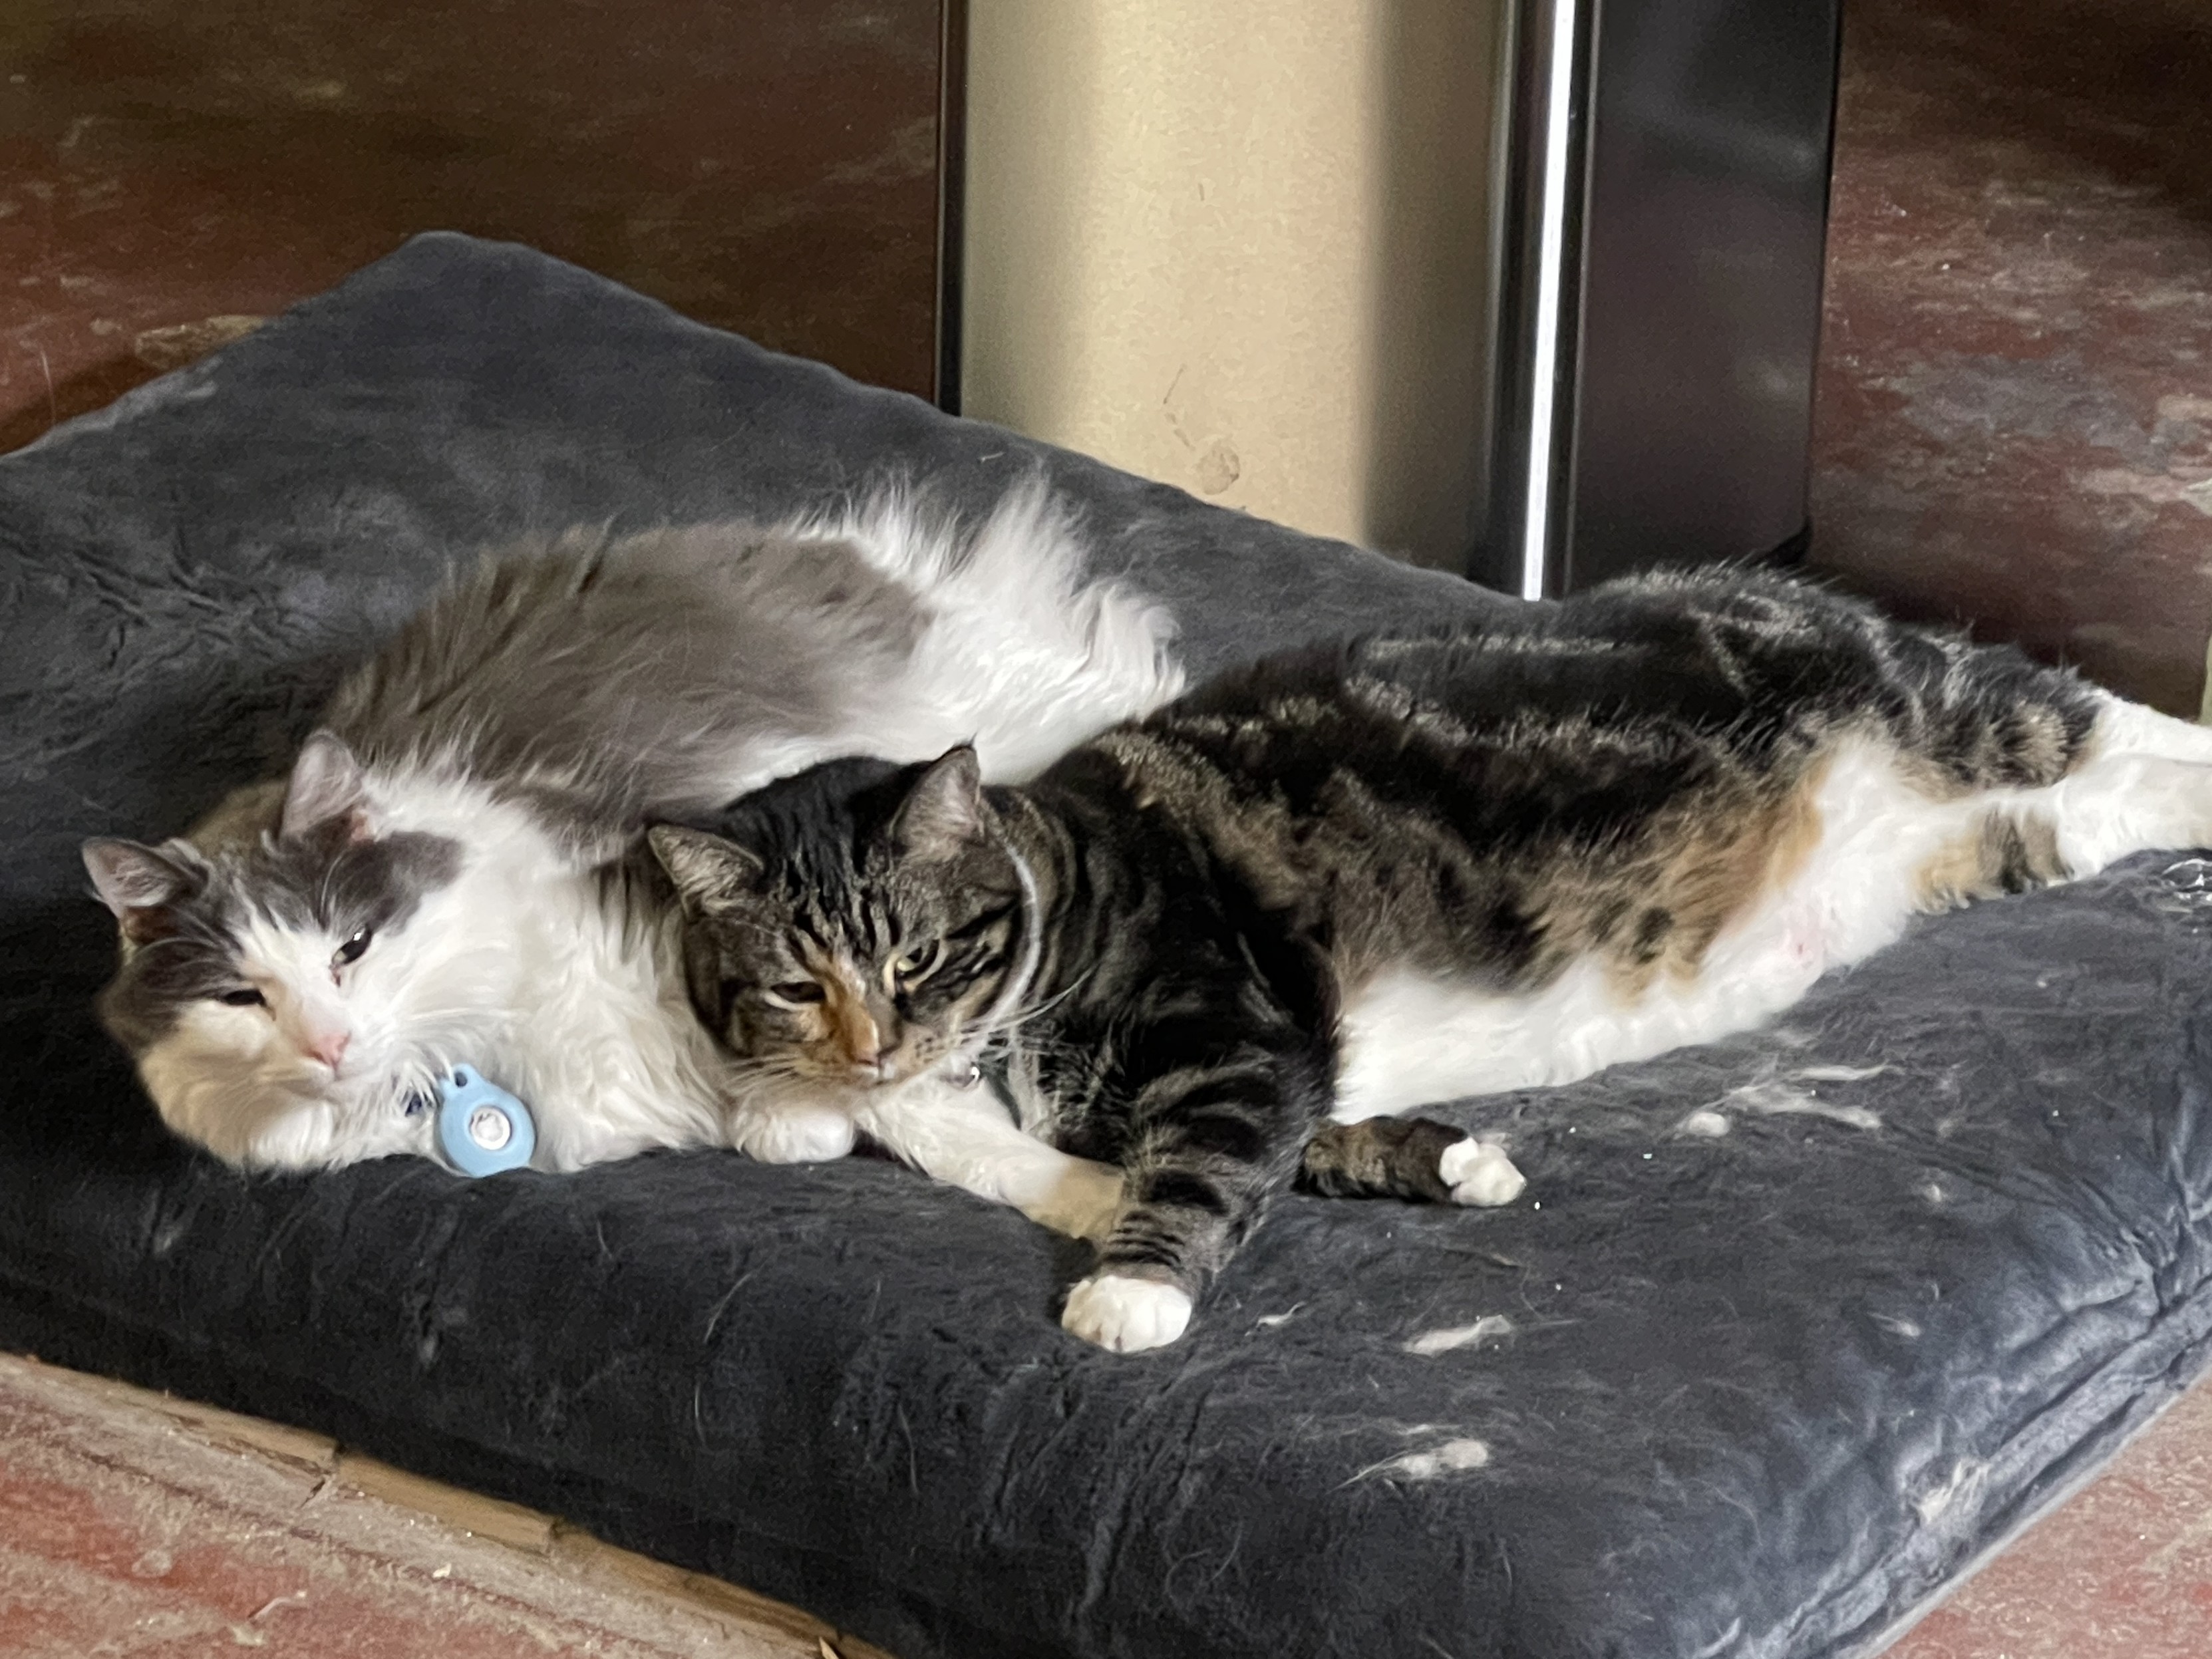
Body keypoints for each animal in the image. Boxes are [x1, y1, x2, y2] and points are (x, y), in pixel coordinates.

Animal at [84, 480, 1185, 1194]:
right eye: (241, 997)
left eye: (349, 948)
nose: (331, 1042)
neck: (460, 1054)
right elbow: (843, 1099)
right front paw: (805, 1123)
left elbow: (915, 1094)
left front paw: (1098, 1213)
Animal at [645, 570, 2212, 1354]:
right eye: (797, 982)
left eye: (915, 955)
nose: (875, 1044)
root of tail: (1783, 581)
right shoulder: (1261, 1079)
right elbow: (1251, 1153)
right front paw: (1447, 1161)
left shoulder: (1240, 1031)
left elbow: (1201, 1161)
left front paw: (1132, 1289)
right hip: (1992, 844)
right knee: (2092, 802)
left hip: (1946, 710)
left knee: (2097, 711)